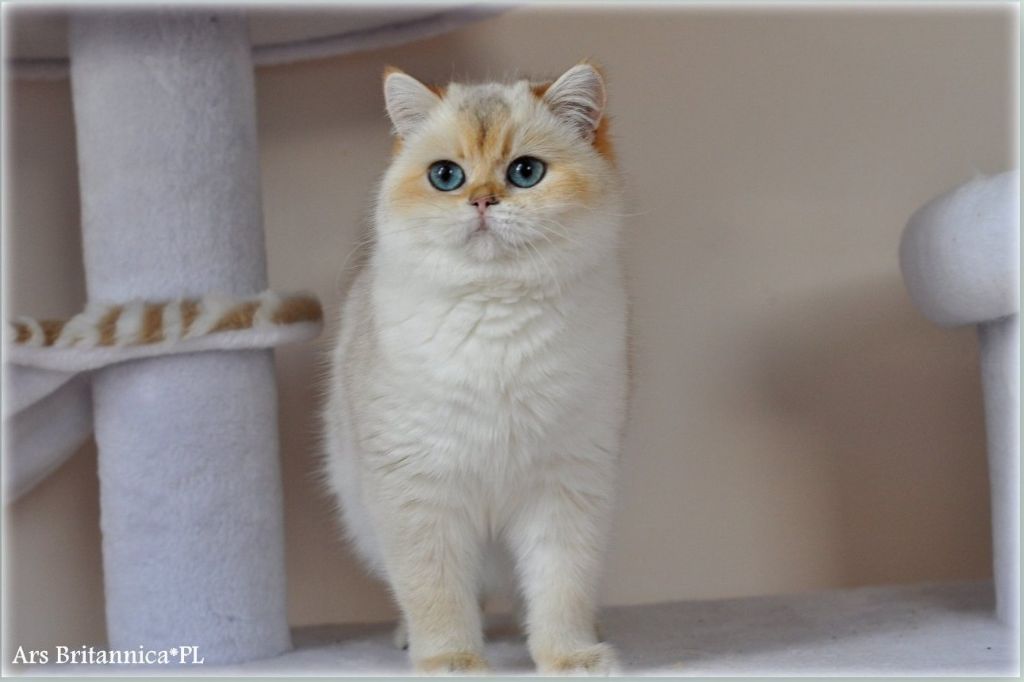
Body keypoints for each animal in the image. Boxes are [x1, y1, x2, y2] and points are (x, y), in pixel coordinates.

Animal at [325, 63, 630, 675]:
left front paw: (570, 657)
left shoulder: (566, 488)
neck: (496, 311)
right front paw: (453, 662)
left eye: (525, 172)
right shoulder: (418, 492)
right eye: (446, 176)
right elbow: (435, 594)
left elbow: (561, 589)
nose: (483, 201)